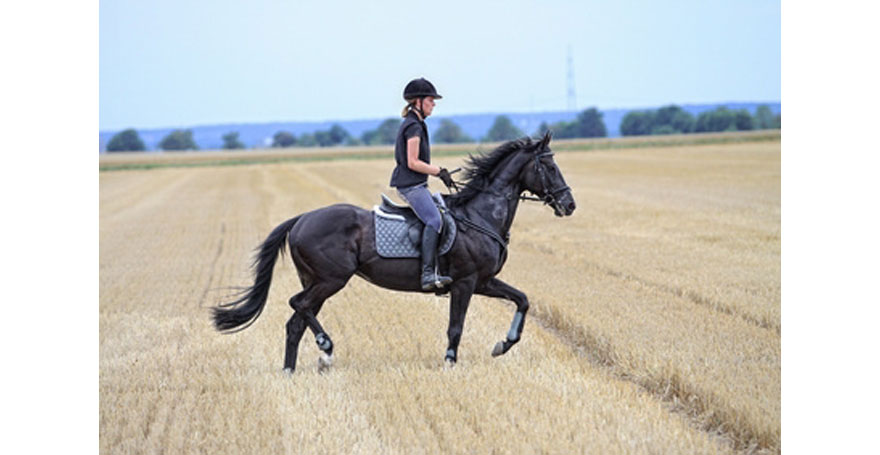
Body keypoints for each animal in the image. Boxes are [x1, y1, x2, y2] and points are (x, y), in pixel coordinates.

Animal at [214, 130, 576, 372]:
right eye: (550, 167)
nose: (569, 204)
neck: (480, 215)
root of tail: (301, 218)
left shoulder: (484, 281)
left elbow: (522, 300)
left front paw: (503, 344)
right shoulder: (465, 282)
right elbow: (456, 326)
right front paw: (450, 362)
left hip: (315, 280)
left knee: (296, 322)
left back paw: (294, 369)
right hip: (332, 279)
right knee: (298, 305)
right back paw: (326, 347)